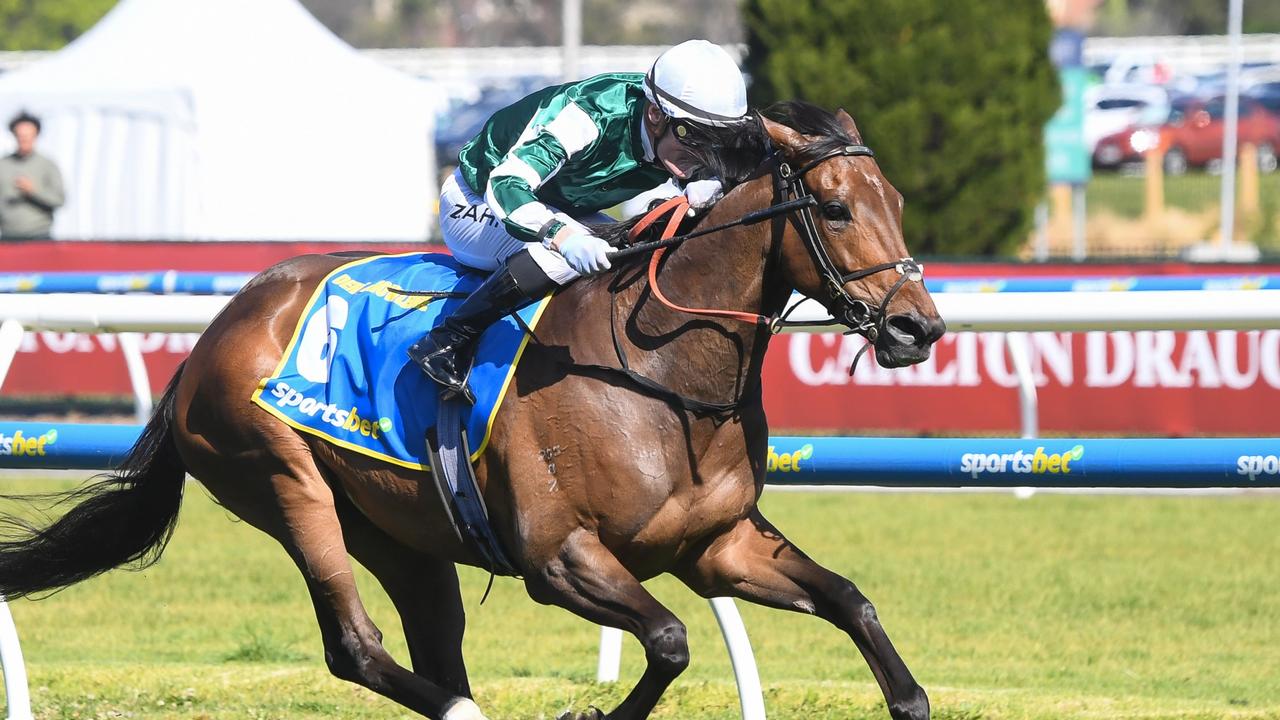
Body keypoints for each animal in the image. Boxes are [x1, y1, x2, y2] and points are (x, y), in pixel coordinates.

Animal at [0, 102, 942, 717]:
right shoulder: (557, 557)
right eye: (834, 208)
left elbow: (852, 602)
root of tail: (210, 338)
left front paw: (906, 694)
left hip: (400, 532)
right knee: (358, 646)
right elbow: (672, 639)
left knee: (431, 644)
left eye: (896, 201)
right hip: (284, 481)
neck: (661, 375)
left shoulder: (718, 546)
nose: (917, 327)